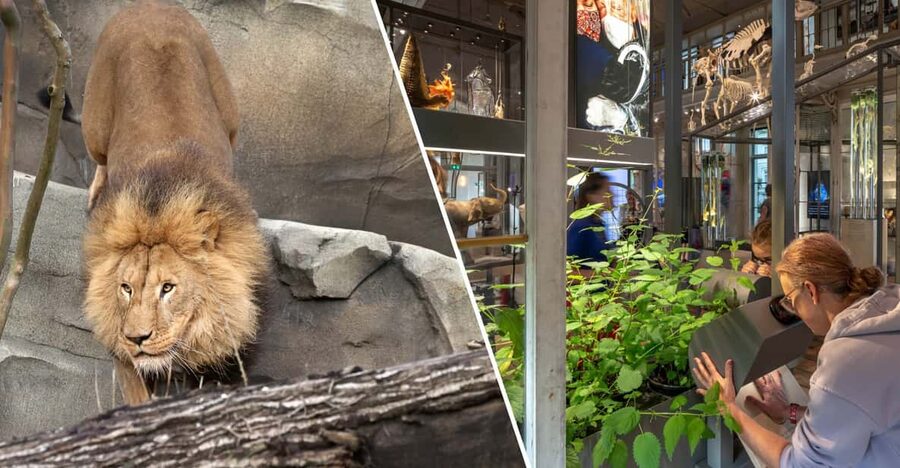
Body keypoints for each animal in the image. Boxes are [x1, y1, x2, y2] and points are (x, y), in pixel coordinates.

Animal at [81, 1, 268, 405]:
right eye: (126, 288)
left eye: (168, 288)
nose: (137, 338)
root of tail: (150, 5)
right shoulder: (118, 343)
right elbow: (138, 392)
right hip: (95, 124)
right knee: (100, 158)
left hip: (230, 115)